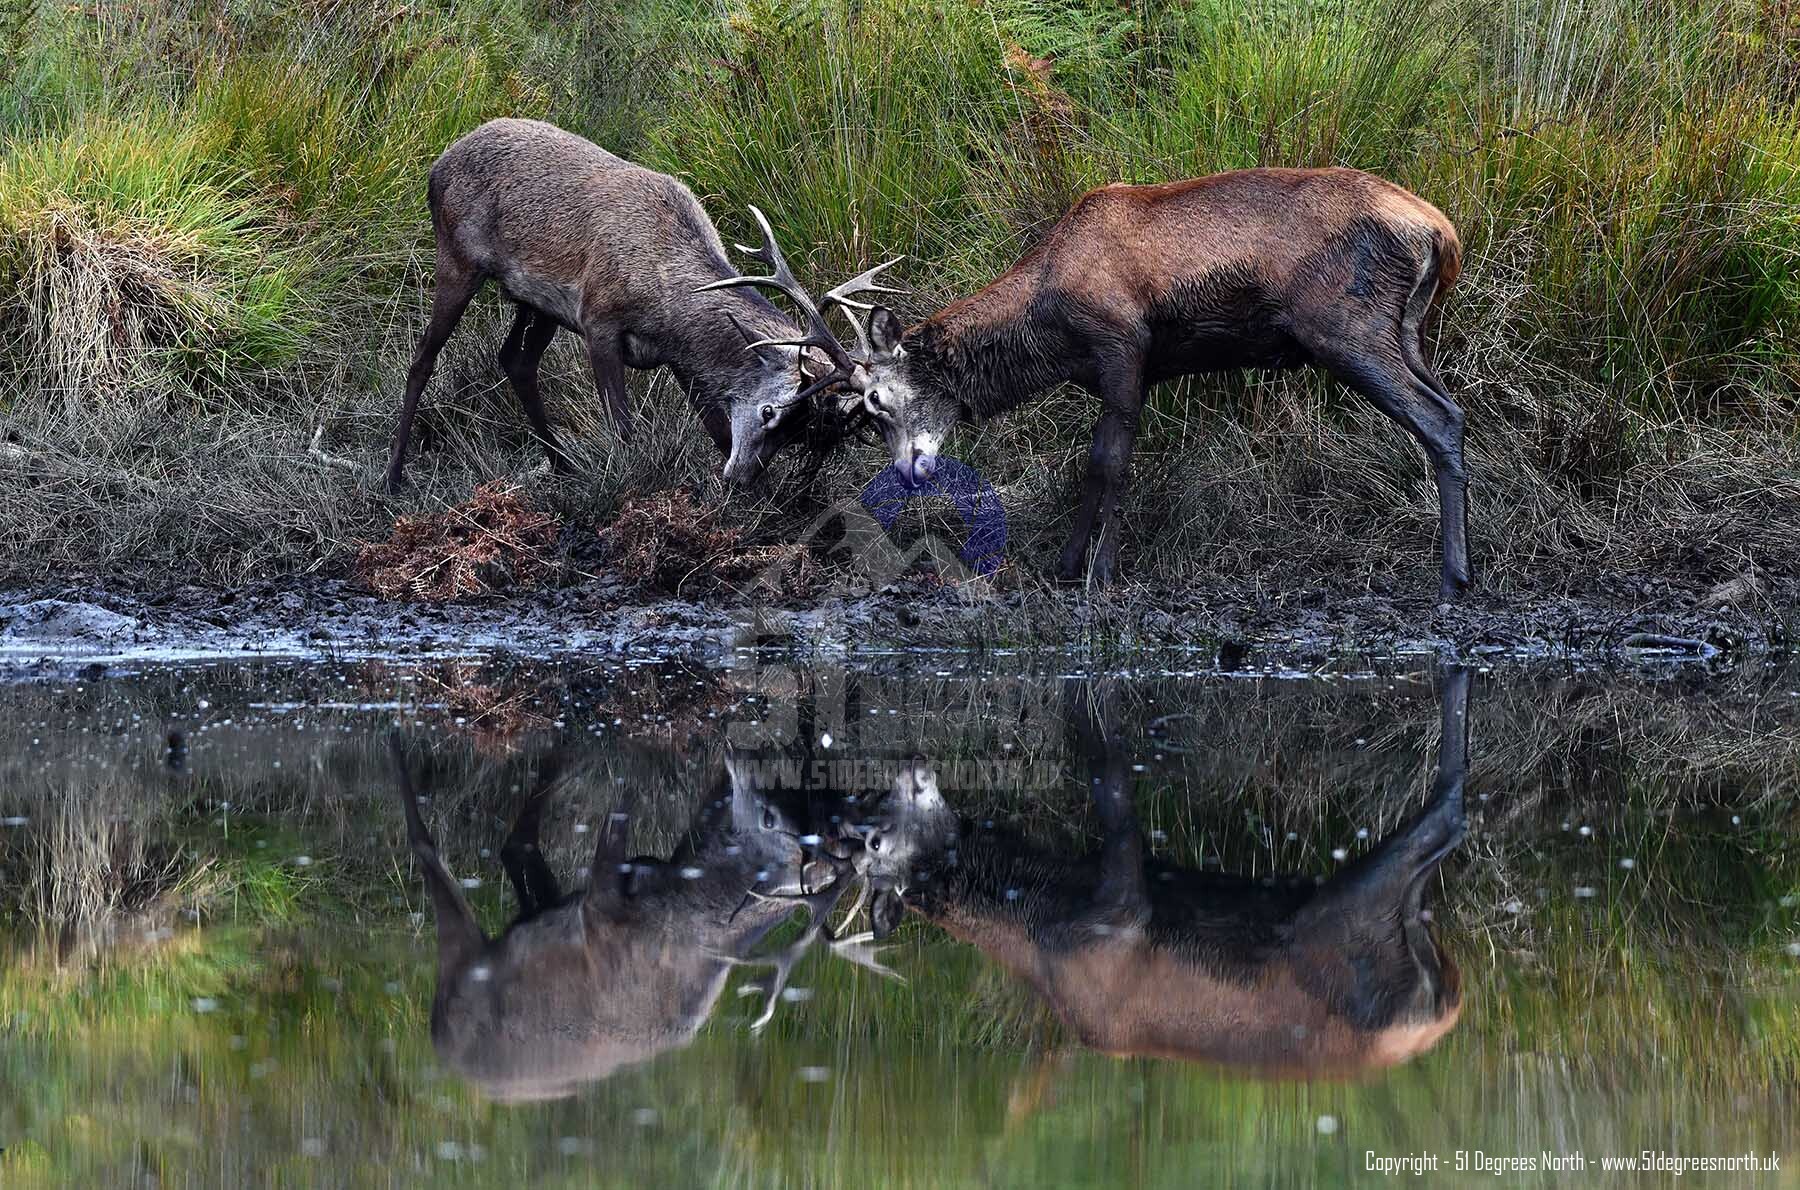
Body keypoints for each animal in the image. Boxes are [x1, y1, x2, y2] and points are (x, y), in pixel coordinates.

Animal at [383, 118, 892, 493]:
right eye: (771, 412)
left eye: (798, 431)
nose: (741, 478)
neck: (669, 307)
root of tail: (436, 167)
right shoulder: (599, 320)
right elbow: (625, 430)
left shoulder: (681, 360)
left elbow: (716, 428)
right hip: (457, 258)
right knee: (423, 358)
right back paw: (394, 476)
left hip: (536, 303)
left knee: (515, 360)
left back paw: (562, 464)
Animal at [388, 739, 894, 1102]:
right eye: (770, 816)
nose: (746, 758)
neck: (682, 903)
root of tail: (440, 1042)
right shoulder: (601, 907)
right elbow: (620, 803)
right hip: (460, 969)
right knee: (430, 846)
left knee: (516, 844)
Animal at [727, 168, 1469, 595]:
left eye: (877, 401)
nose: (911, 472)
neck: (1048, 329)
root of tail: (1441, 232)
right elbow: (1092, 461)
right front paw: (1065, 563)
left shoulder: (1123, 344)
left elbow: (1112, 460)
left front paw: (1102, 571)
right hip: (1407, 331)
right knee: (1450, 409)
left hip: (1346, 324)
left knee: (1438, 418)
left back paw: (1453, 576)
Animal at [856, 669, 1471, 1077]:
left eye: (875, 838)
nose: (908, 765)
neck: (1041, 902)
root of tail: (1437, 1016)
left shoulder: (1120, 908)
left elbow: (1110, 777)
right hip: (1386, 922)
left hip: (1344, 922)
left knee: (1447, 811)